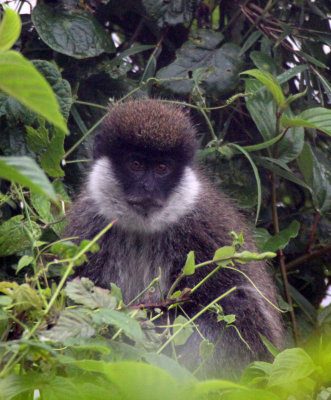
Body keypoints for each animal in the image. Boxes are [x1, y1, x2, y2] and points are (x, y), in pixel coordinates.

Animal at [65, 99, 286, 378]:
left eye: (162, 168)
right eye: (136, 164)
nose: (148, 188)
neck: (142, 229)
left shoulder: (203, 226)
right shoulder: (86, 227)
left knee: (236, 303)